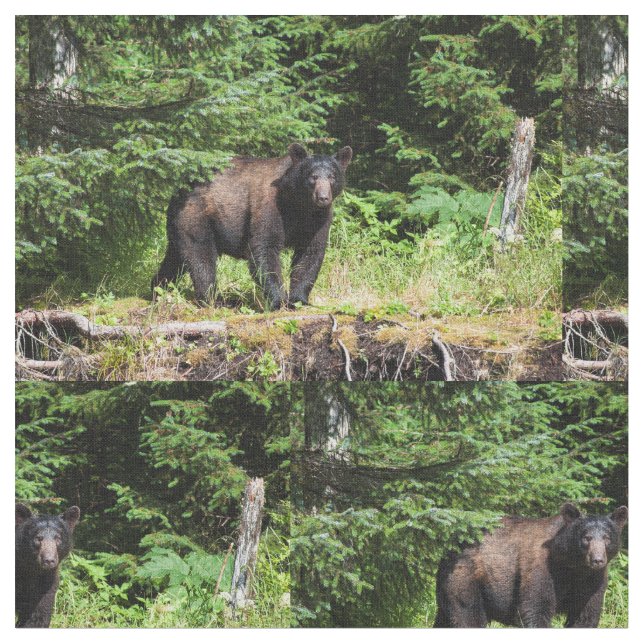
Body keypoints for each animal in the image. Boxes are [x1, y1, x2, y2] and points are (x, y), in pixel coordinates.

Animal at [151, 143, 353, 310]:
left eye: (332, 176)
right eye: (313, 177)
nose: (323, 197)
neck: (298, 205)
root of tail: (178, 190)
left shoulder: (318, 220)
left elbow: (310, 253)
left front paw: (299, 299)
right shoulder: (270, 206)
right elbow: (264, 248)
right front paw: (278, 301)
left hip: (179, 226)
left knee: (175, 258)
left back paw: (157, 288)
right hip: (196, 216)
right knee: (201, 256)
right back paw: (214, 300)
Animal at [434, 503, 628, 628]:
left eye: (607, 538)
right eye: (586, 537)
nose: (597, 560)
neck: (571, 566)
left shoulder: (592, 580)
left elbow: (585, 614)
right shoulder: (541, 568)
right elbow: (536, 607)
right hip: (465, 579)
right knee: (468, 616)